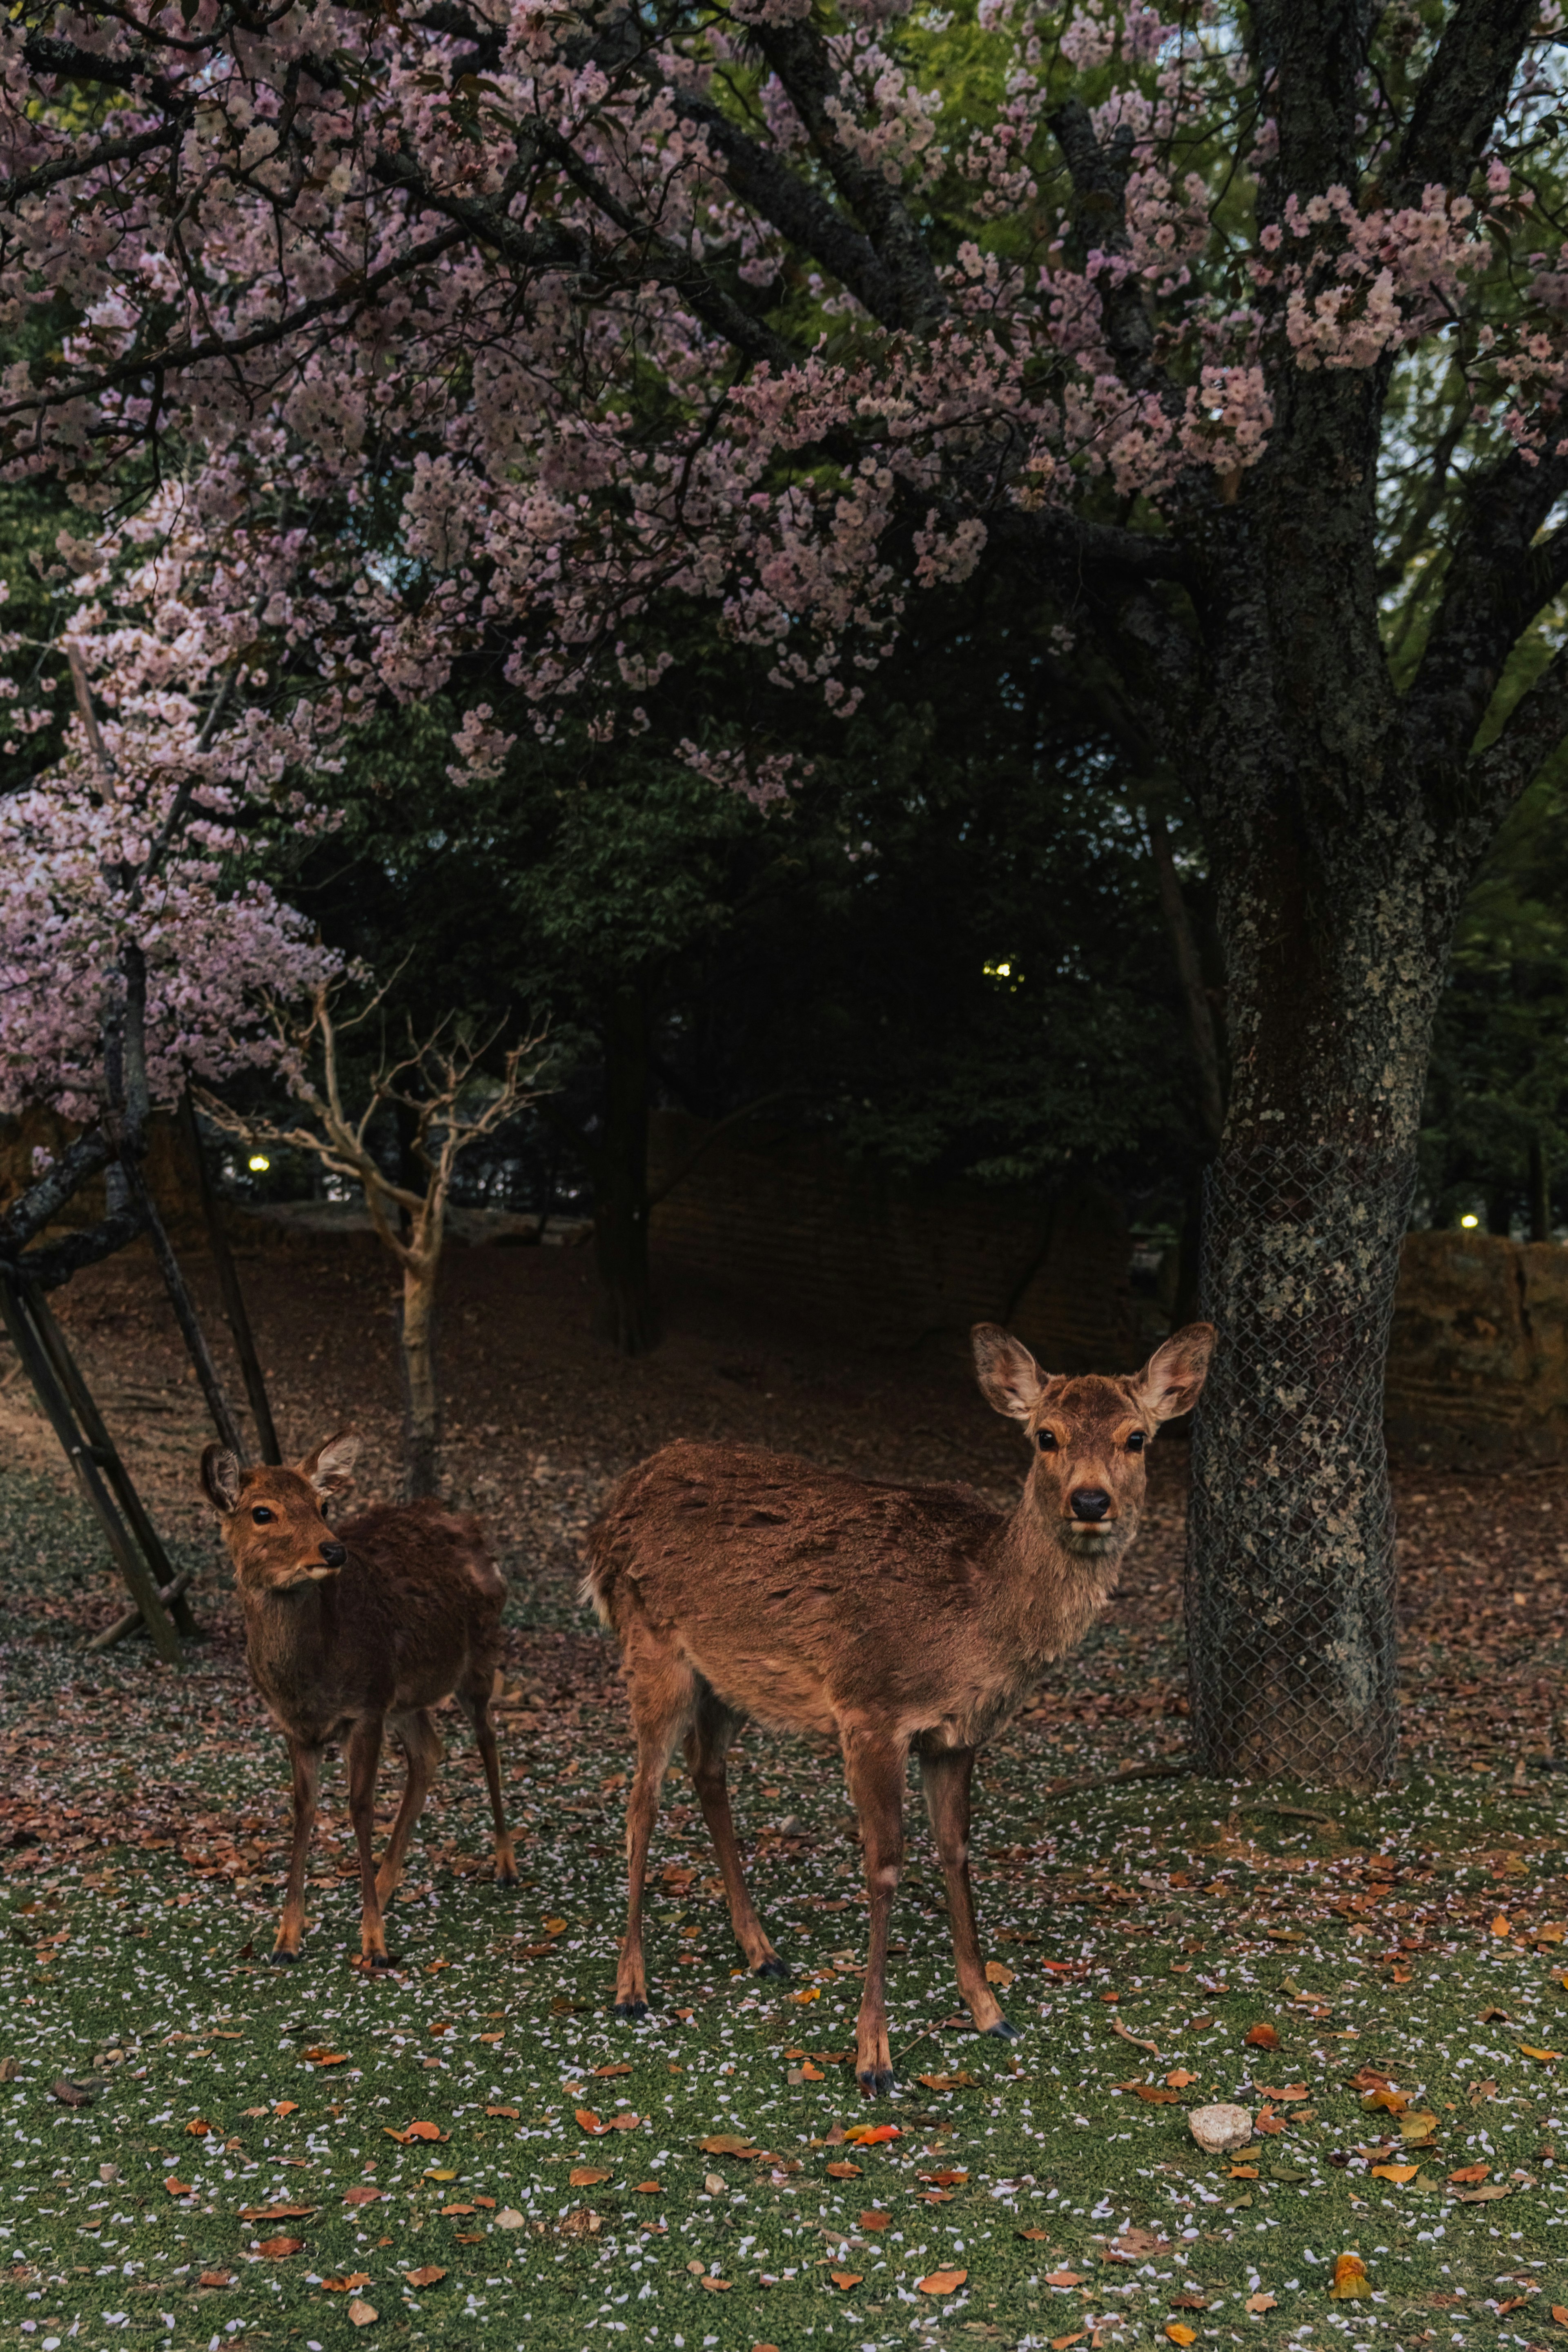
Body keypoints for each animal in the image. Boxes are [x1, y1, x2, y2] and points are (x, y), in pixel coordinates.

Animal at [200, 1430, 517, 1966]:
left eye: (323, 1505)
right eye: (262, 1512)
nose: (333, 1551)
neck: (313, 1678)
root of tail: (466, 1523)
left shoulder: (366, 1708)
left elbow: (361, 1808)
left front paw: (375, 1944)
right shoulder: (297, 1725)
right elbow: (304, 1809)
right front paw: (286, 1940)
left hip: (479, 1651)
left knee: (487, 1737)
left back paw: (505, 1864)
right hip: (406, 1695)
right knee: (430, 1751)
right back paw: (388, 1885)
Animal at [588, 1326, 1213, 2098]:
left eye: (1137, 1437)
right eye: (1046, 1436)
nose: (1091, 1500)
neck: (974, 1623)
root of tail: (615, 1503)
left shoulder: (956, 1735)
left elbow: (956, 1851)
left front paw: (989, 2010)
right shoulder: (869, 1709)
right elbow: (884, 1866)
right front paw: (874, 2056)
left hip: (729, 1679)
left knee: (707, 1772)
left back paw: (761, 1950)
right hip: (650, 1644)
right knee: (640, 1798)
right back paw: (632, 1986)